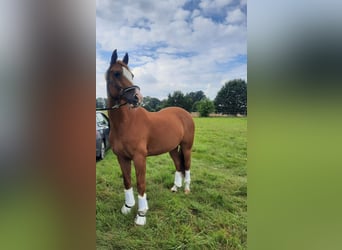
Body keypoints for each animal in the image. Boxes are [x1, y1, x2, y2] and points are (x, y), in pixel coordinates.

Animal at [105, 49, 194, 226]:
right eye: (117, 73)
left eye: (132, 74)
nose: (138, 97)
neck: (126, 123)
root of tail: (185, 113)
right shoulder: (122, 157)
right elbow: (127, 181)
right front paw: (127, 207)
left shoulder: (140, 158)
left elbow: (140, 183)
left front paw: (141, 214)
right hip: (172, 148)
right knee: (178, 164)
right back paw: (175, 187)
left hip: (186, 147)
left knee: (186, 165)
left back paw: (186, 188)